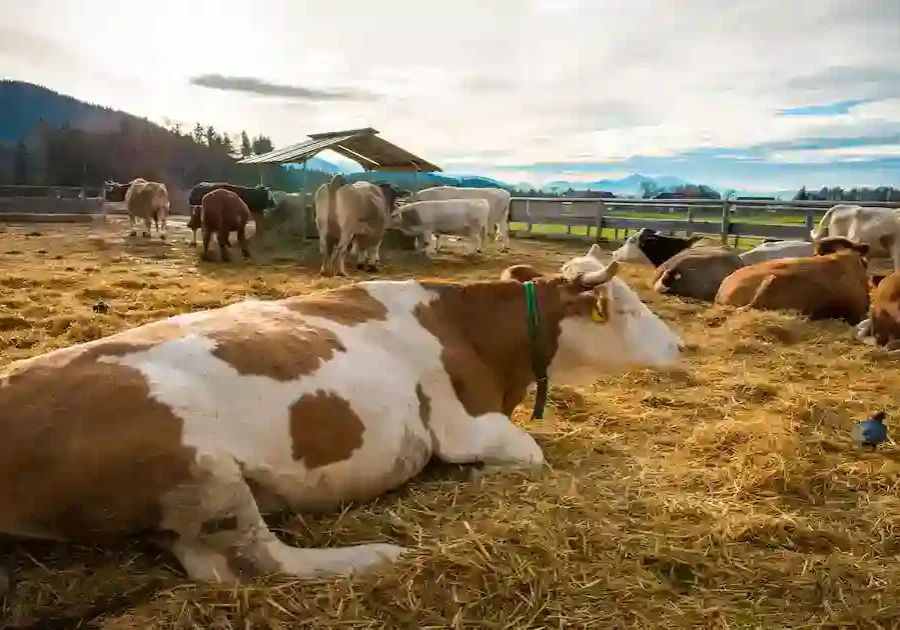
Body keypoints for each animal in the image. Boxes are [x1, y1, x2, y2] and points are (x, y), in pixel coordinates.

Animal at [0, 256, 683, 586]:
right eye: (622, 306)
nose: (680, 346)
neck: (475, 332)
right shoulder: (465, 426)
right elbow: (530, 455)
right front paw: (475, 477)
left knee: (209, 566)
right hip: (202, 467)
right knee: (259, 562)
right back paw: (375, 556)